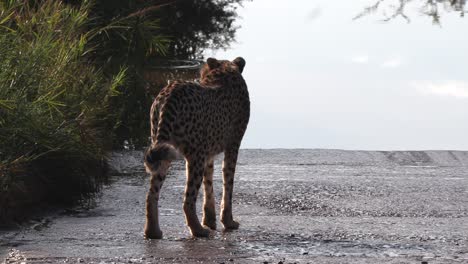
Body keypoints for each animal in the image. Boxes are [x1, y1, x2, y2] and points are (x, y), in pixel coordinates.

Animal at [144, 56, 250, 238]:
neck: (225, 69)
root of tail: (172, 90)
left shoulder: (208, 151)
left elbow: (209, 183)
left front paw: (209, 219)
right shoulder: (232, 145)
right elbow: (228, 183)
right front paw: (227, 221)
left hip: (164, 149)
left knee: (152, 193)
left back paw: (153, 231)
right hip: (194, 157)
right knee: (188, 199)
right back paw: (198, 230)